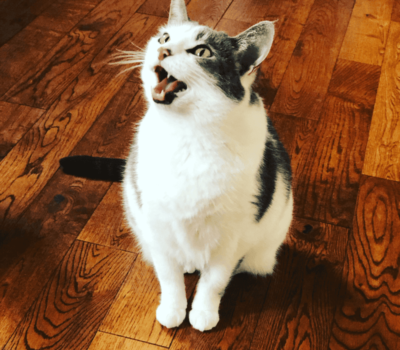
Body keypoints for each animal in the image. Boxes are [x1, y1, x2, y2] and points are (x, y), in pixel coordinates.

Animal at [60, 0, 290, 330]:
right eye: (164, 37)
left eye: (203, 52)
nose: (163, 50)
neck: (187, 134)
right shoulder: (156, 225)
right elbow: (168, 276)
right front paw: (172, 308)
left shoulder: (232, 236)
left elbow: (215, 280)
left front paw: (204, 313)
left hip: (264, 245)